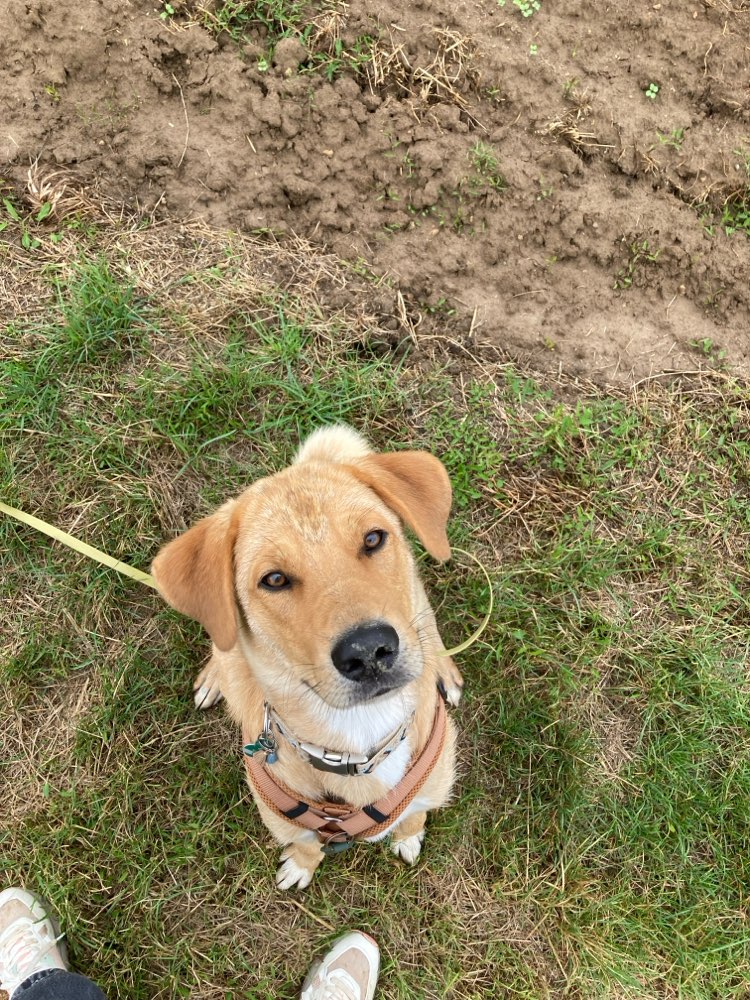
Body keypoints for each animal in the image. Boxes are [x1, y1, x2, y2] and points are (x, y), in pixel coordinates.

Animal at [151, 428, 464, 892]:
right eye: (275, 579)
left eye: (373, 539)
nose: (368, 650)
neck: (358, 742)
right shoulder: (285, 820)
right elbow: (306, 845)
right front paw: (301, 865)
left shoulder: (428, 791)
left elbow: (414, 816)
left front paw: (408, 836)